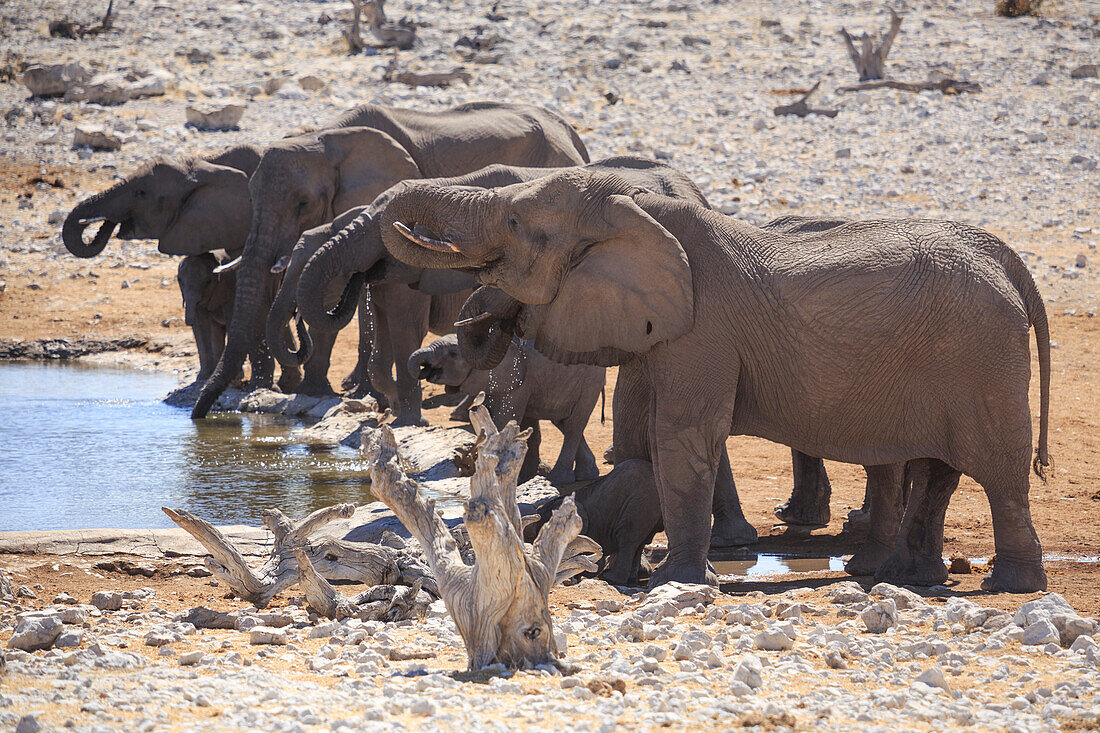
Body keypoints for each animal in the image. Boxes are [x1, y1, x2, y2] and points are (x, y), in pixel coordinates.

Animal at [189, 100, 594, 416]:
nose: (198, 416)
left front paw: (370, 399)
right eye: (250, 197)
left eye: (302, 203)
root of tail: (573, 135)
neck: (324, 139)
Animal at [411, 332, 607, 482]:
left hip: (590, 383)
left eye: (452, 354)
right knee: (562, 422)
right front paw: (524, 477)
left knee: (574, 425)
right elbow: (526, 424)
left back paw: (559, 480)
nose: (424, 370)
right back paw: (587, 475)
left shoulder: (517, 377)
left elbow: (503, 419)